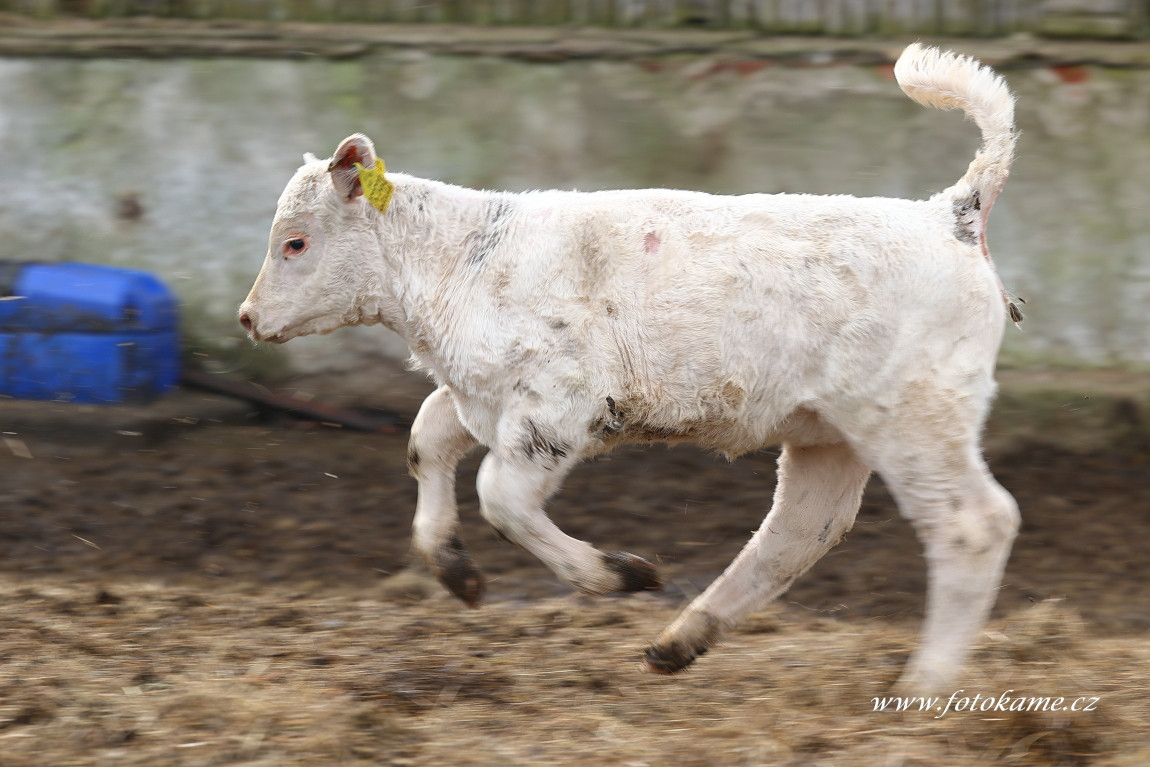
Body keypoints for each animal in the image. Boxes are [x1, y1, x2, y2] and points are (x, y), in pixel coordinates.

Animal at [242, 43, 1025, 694]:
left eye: (295, 242)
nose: (248, 318)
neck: (464, 261)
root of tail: (951, 213)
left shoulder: (558, 407)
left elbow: (501, 496)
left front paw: (621, 573)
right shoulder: (478, 394)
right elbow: (424, 441)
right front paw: (457, 573)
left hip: (914, 416)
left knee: (973, 524)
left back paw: (925, 684)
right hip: (828, 429)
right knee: (802, 529)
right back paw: (678, 642)